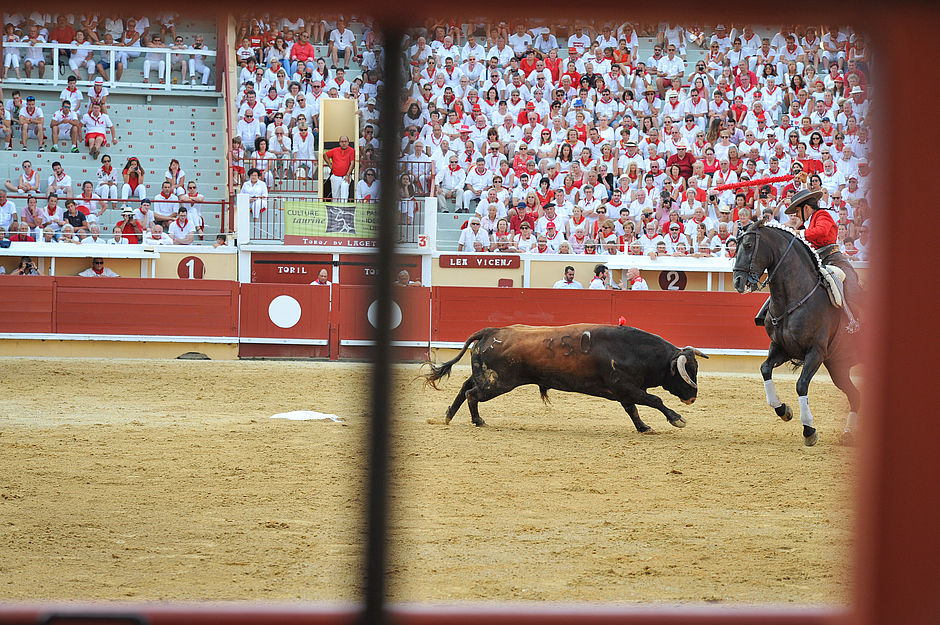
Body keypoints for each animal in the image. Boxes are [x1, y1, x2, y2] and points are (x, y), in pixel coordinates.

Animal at [422, 324, 708, 432]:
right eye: (688, 371)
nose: (693, 398)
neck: (632, 350)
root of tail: (492, 331)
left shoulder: (624, 391)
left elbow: (634, 409)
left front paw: (644, 427)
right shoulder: (626, 386)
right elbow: (655, 400)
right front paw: (677, 419)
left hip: (486, 377)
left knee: (465, 387)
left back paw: (448, 415)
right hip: (498, 383)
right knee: (472, 393)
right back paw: (478, 421)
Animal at [736, 219, 860, 444]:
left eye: (748, 246)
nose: (738, 281)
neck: (794, 297)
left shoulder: (816, 352)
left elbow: (801, 384)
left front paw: (809, 429)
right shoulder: (782, 348)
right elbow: (765, 369)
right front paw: (783, 409)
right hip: (838, 367)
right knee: (856, 396)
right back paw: (848, 433)